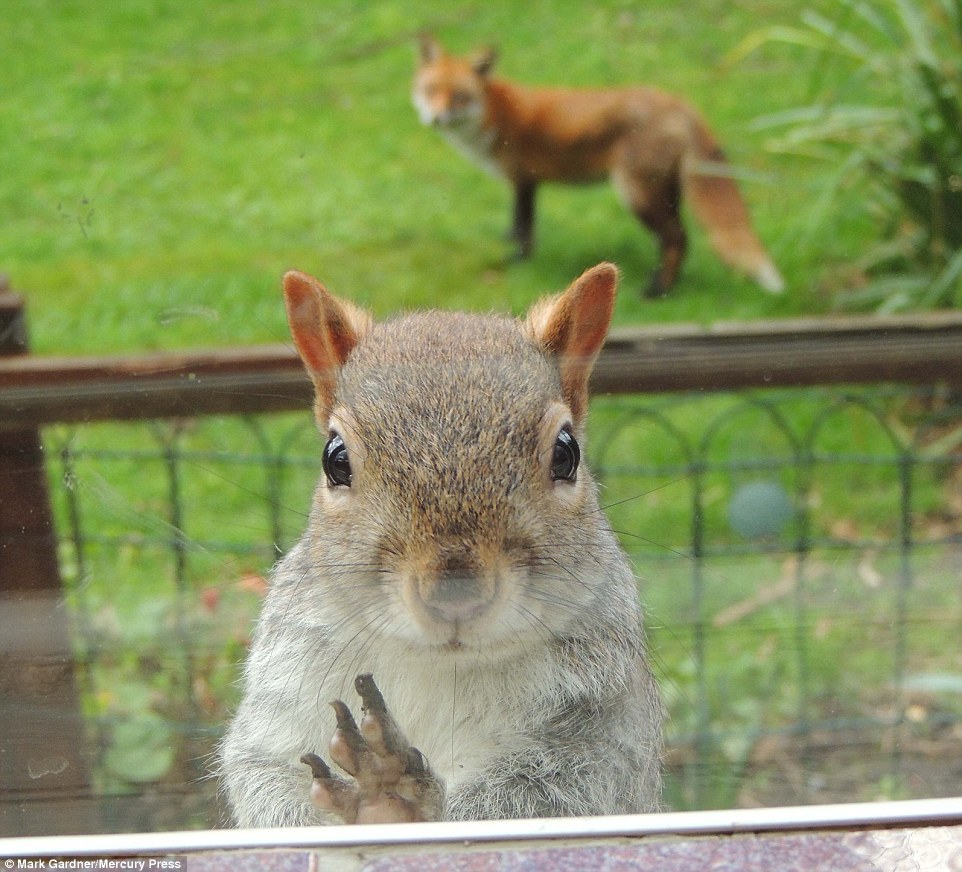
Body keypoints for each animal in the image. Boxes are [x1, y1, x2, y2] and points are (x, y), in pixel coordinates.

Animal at [221, 264, 664, 824]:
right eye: (334, 459)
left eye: (567, 453)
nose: (455, 591)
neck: (436, 662)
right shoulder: (283, 691)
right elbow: (264, 778)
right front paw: (374, 799)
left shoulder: (599, 734)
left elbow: (544, 799)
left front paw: (395, 799)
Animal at [410, 35, 780, 296]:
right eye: (431, 90)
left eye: (460, 96)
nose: (436, 119)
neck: (496, 115)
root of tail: (679, 103)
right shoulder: (523, 182)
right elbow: (515, 226)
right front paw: (506, 242)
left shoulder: (524, 178)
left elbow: (524, 228)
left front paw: (517, 261)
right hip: (666, 191)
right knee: (679, 238)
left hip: (636, 193)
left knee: (677, 239)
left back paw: (656, 291)